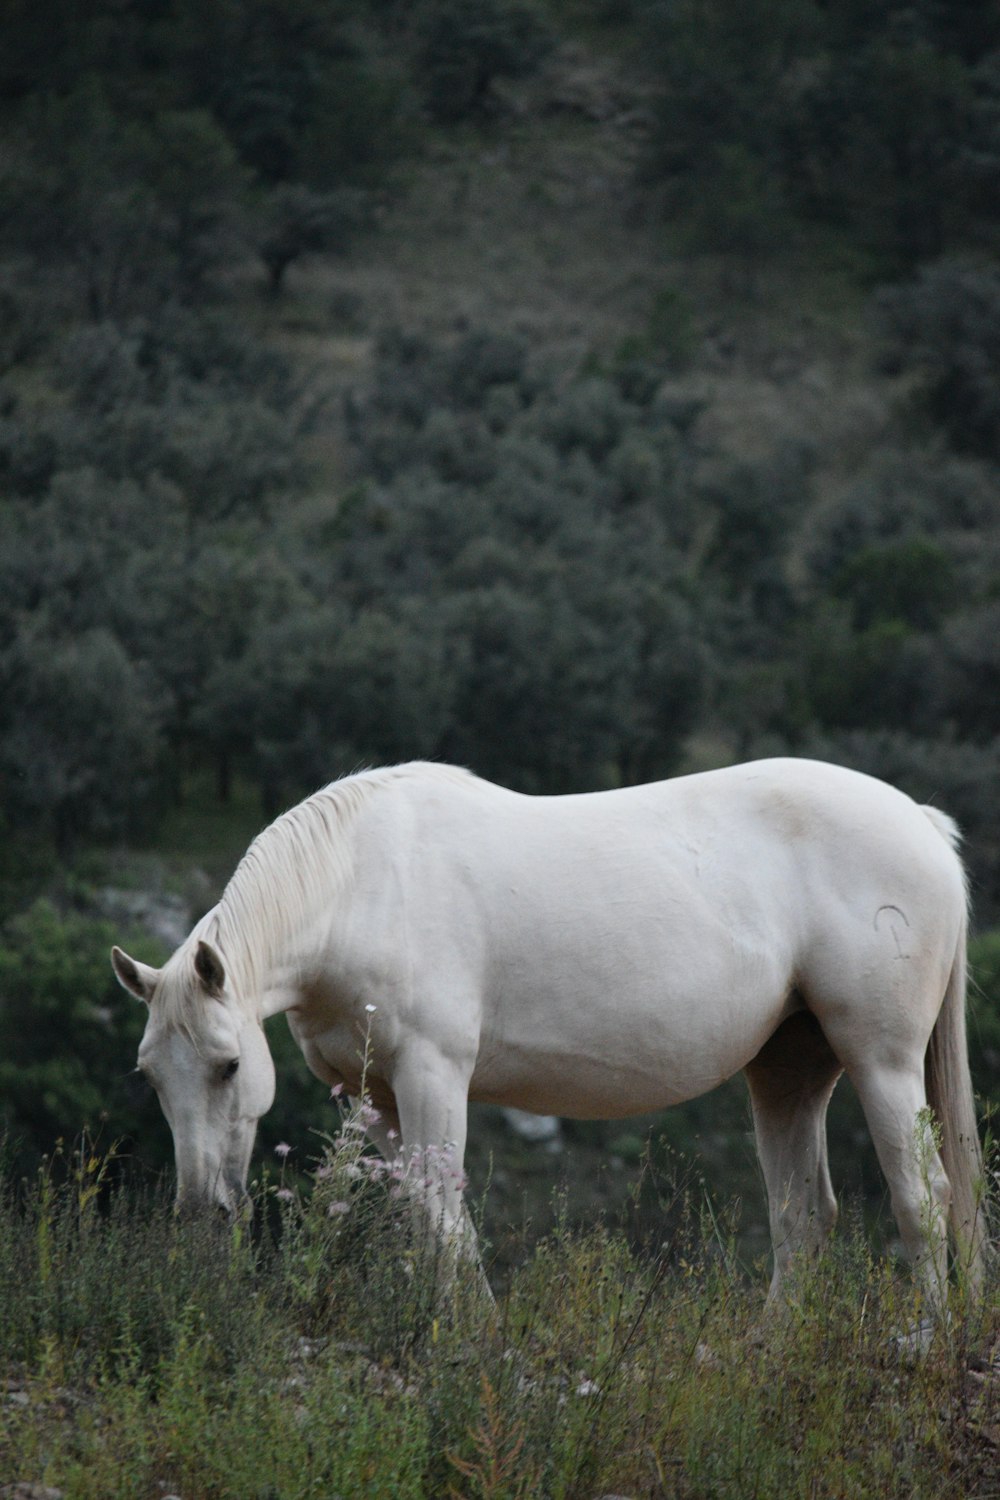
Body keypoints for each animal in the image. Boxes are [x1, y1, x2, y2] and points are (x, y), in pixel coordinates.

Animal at [113, 756, 989, 1308]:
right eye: (151, 1076)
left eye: (229, 1066)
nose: (201, 1212)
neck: (360, 884)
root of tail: (922, 824)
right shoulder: (376, 1097)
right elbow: (419, 1223)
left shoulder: (433, 1075)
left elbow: (443, 1222)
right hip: (787, 1070)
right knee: (803, 1218)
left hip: (882, 1062)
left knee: (923, 1199)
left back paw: (926, 1342)